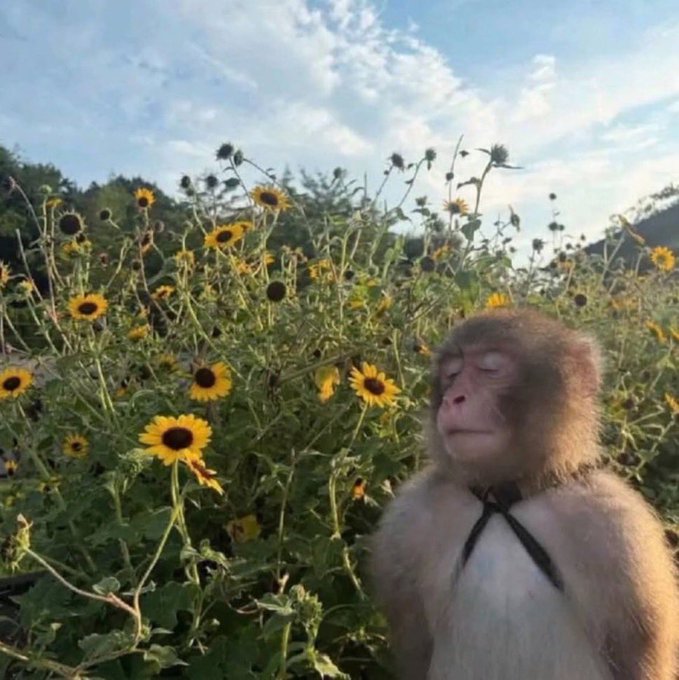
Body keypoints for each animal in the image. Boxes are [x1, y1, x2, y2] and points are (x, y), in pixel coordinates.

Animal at [370, 308, 679, 680]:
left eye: (490, 369)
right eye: (452, 374)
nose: (454, 398)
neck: (504, 495)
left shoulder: (618, 528)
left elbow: (640, 655)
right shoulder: (408, 520)